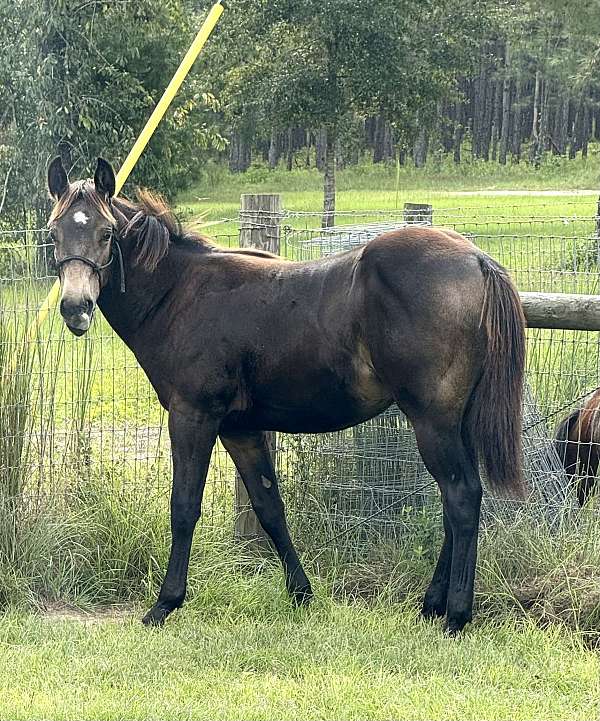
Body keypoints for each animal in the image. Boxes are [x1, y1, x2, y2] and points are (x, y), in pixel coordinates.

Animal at [47, 156, 524, 632]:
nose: (75, 308)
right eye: (53, 232)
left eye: (106, 233)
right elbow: (269, 507)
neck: (179, 294)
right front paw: (301, 593)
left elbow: (184, 507)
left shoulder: (193, 416)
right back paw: (431, 605)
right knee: (453, 503)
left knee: (462, 497)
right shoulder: (239, 429)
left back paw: (455, 615)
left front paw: (165, 603)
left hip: (431, 420)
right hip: (453, 422)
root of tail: (478, 259)